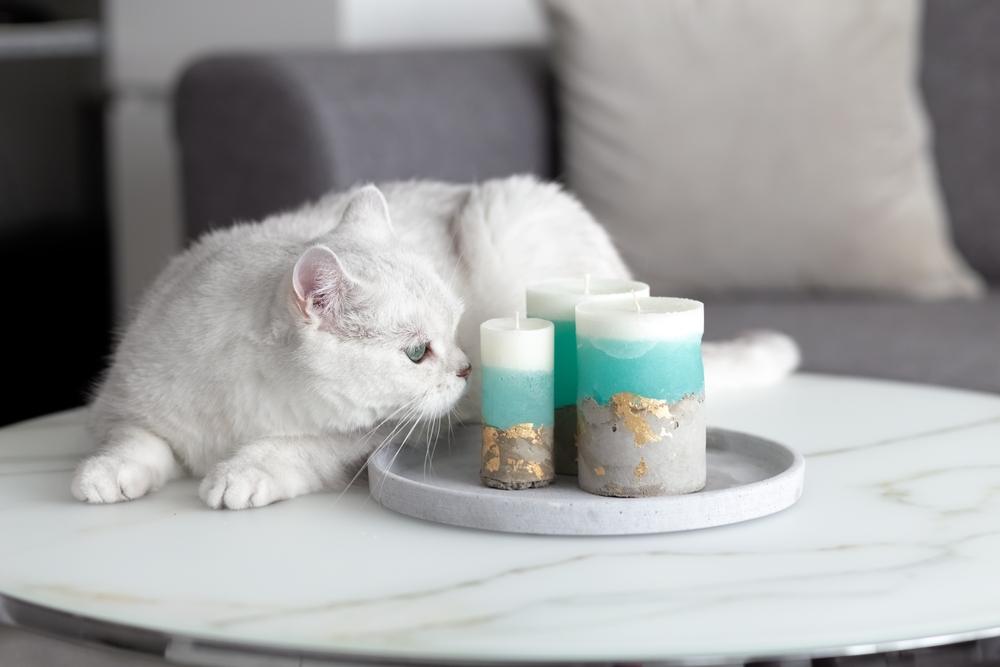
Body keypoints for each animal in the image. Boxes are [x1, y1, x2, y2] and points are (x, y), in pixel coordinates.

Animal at [72, 175, 796, 508]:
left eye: (452, 331)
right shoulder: (121, 403)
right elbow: (136, 442)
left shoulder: (362, 440)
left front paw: (241, 474)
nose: (468, 368)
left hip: (508, 214)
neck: (241, 409)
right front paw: (105, 475)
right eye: (418, 352)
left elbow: (293, 448)